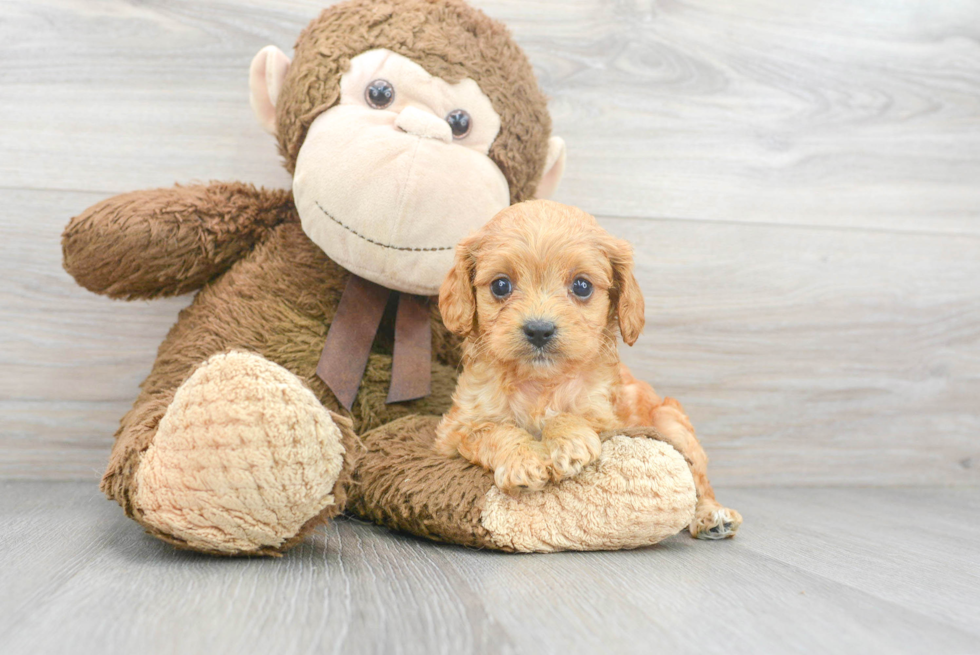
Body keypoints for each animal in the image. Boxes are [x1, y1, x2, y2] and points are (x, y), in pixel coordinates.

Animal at [436, 202, 744, 540]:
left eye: (581, 286)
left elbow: (569, 416)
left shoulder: (607, 417)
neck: (540, 384)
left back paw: (712, 516)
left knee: (699, 480)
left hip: (672, 422)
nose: (539, 330)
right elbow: (493, 430)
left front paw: (569, 444)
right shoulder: (454, 431)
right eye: (500, 285)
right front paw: (523, 459)